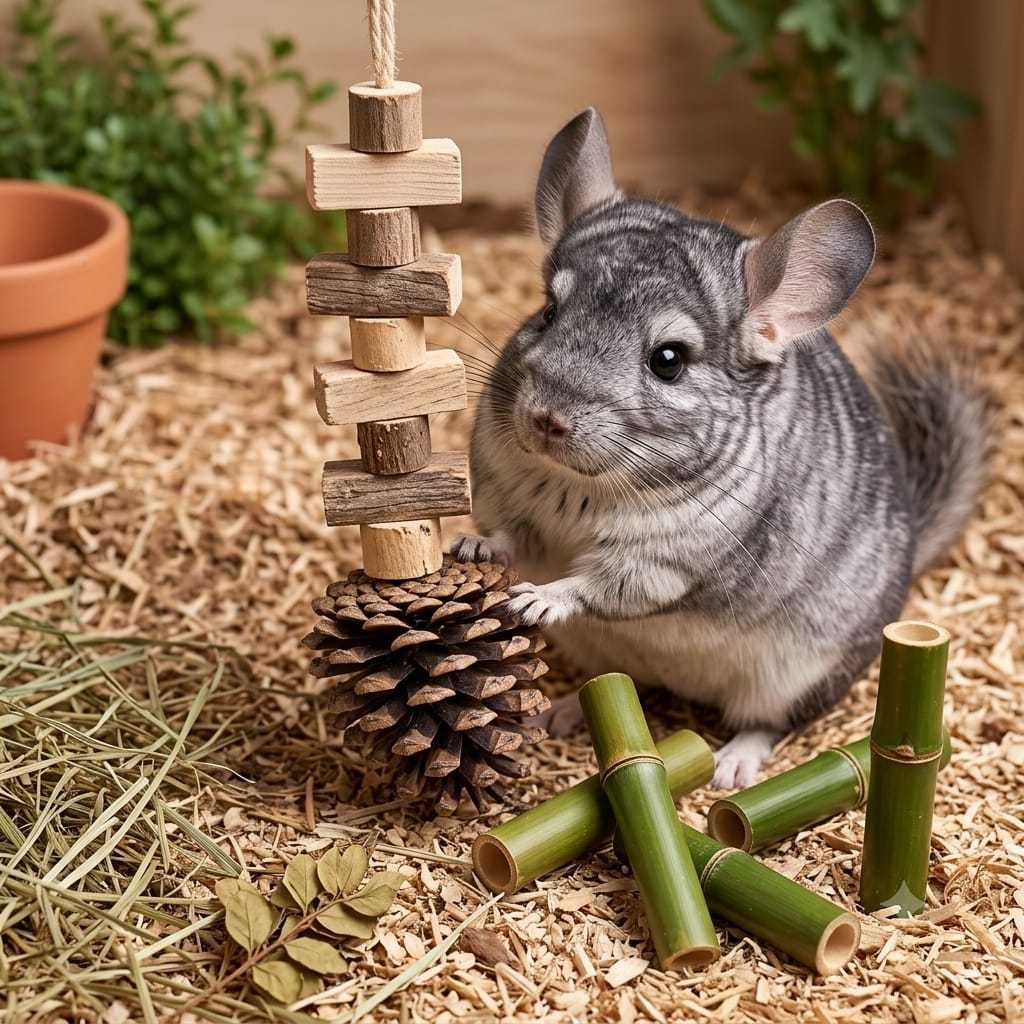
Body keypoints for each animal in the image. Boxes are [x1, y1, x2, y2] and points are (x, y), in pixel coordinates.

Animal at [454, 108, 992, 789]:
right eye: (548, 311)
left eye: (668, 360)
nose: (546, 418)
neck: (577, 489)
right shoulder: (512, 501)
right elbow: (511, 539)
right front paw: (474, 548)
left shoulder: (665, 564)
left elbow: (600, 586)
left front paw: (537, 598)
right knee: (626, 684)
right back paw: (565, 710)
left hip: (795, 678)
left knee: (767, 722)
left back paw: (733, 765)